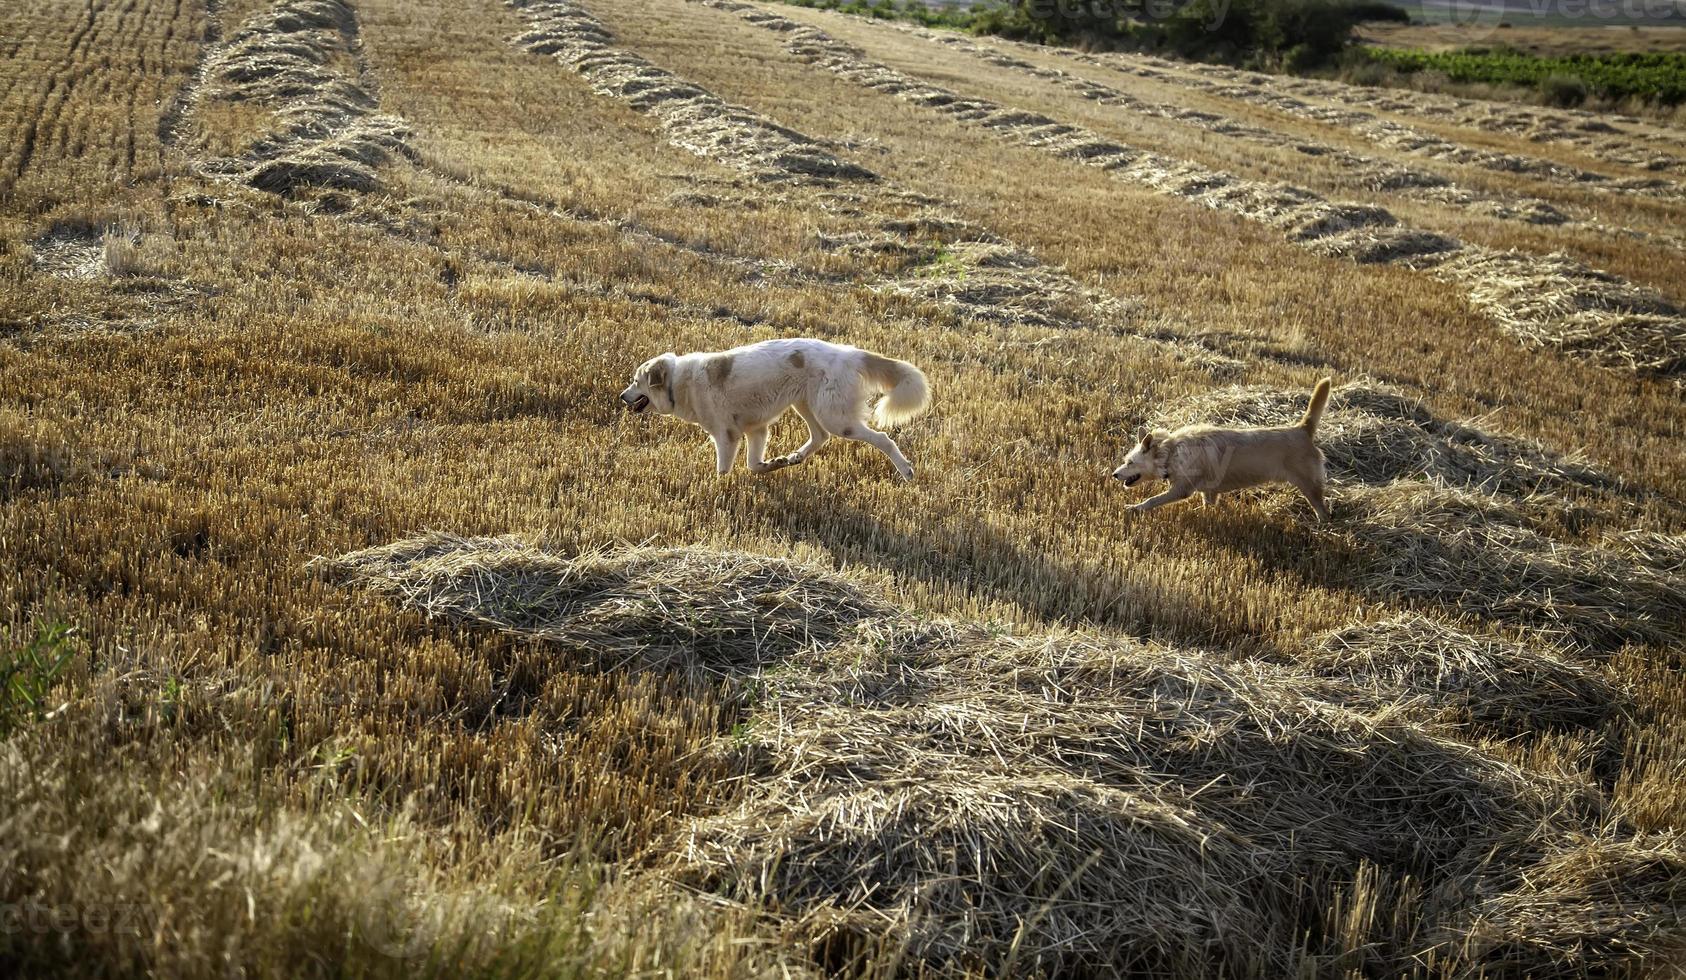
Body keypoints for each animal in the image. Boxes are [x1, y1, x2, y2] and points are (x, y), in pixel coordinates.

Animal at [623, 339, 937, 479]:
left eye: (636, 381)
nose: (621, 396)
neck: (679, 383)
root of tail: (849, 353)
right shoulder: (756, 430)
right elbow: (753, 464)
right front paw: (770, 465)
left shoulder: (727, 436)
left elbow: (723, 470)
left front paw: (718, 486)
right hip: (806, 405)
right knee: (820, 437)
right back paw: (794, 458)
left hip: (836, 418)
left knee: (883, 439)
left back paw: (906, 470)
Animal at [1112, 376, 1335, 519]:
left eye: (1130, 463)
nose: (1114, 475)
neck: (1171, 451)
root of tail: (1302, 429)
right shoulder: (1209, 493)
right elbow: (1208, 508)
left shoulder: (1181, 490)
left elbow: (1151, 501)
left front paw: (1134, 508)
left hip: (1310, 486)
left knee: (1323, 512)